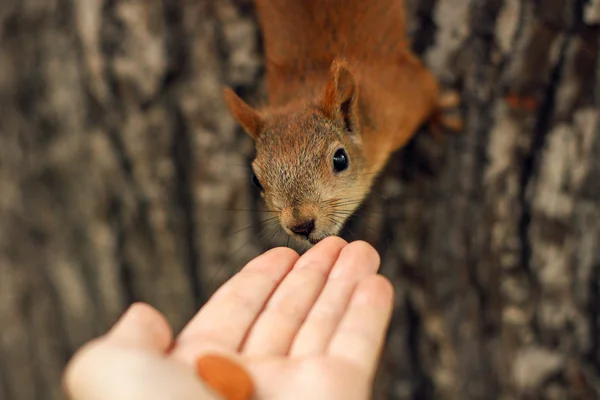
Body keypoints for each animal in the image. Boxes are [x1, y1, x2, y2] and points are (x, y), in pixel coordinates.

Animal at [223, 0, 462, 245]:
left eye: (340, 159)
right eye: (255, 180)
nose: (301, 225)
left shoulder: (406, 90)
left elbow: (428, 90)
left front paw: (439, 114)